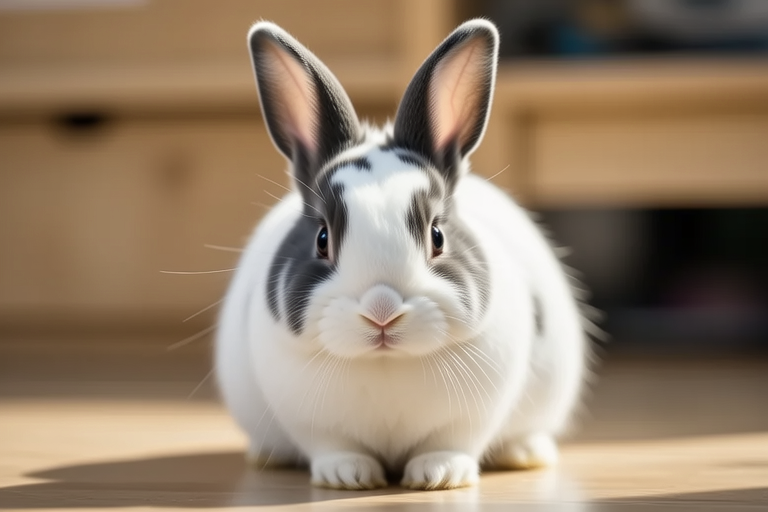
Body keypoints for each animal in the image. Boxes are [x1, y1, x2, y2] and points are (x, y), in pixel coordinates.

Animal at [215, 19, 588, 491]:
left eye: (437, 236)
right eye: (322, 238)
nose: (382, 310)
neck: (385, 364)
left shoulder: (471, 416)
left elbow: (452, 443)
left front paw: (440, 475)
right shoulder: (313, 422)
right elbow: (334, 446)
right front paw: (348, 476)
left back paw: (525, 453)